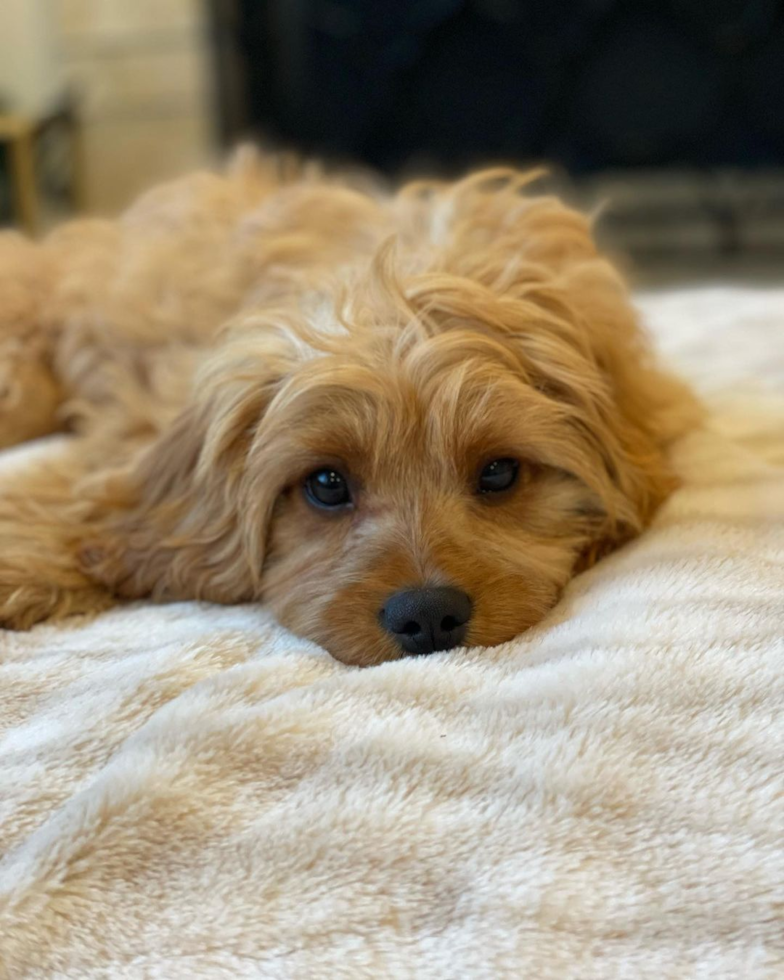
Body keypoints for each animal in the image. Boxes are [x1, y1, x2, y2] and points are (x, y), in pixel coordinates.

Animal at [0, 151, 700, 668]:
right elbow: (90, 503)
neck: (403, 289)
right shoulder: (136, 432)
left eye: (500, 472)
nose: (426, 616)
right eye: (327, 484)